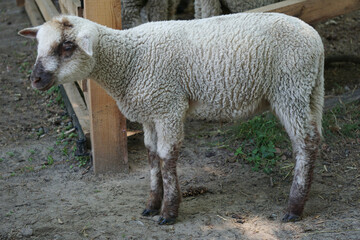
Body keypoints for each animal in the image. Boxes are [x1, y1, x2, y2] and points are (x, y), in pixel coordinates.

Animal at [18, 13, 324, 225]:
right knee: (314, 138)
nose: (35, 80)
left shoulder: (168, 107)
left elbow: (167, 158)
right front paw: (152, 204)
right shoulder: (149, 113)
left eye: (67, 46)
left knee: (305, 143)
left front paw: (168, 212)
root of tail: (316, 40)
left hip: (290, 89)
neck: (128, 61)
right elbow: (152, 156)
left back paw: (293, 209)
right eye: (39, 45)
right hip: (309, 92)